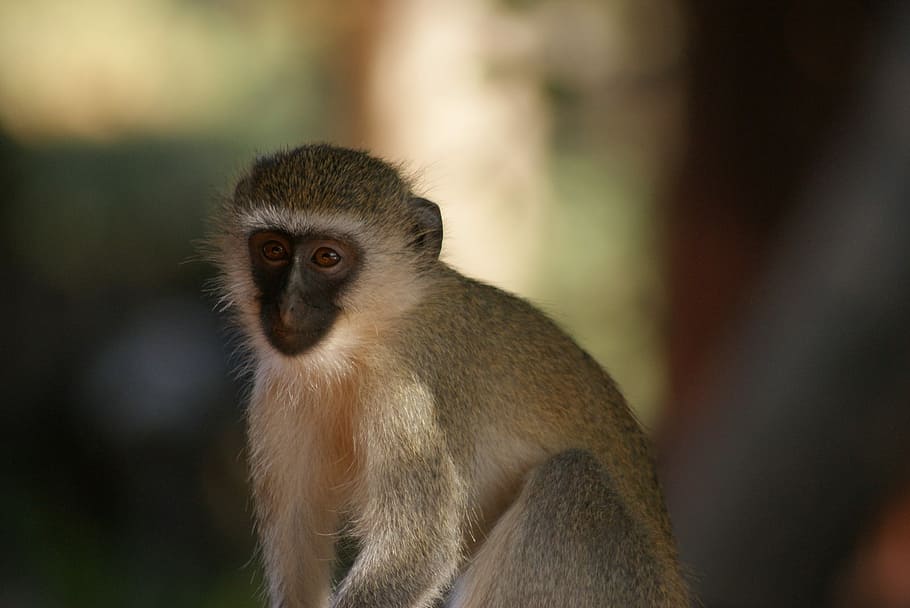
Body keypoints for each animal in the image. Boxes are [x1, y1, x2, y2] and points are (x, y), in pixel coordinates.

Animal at [208, 144, 689, 608]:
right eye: (273, 250)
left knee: (570, 478)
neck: (363, 342)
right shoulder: (274, 394)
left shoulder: (407, 394)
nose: (288, 305)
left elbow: (420, 550)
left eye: (326, 257)